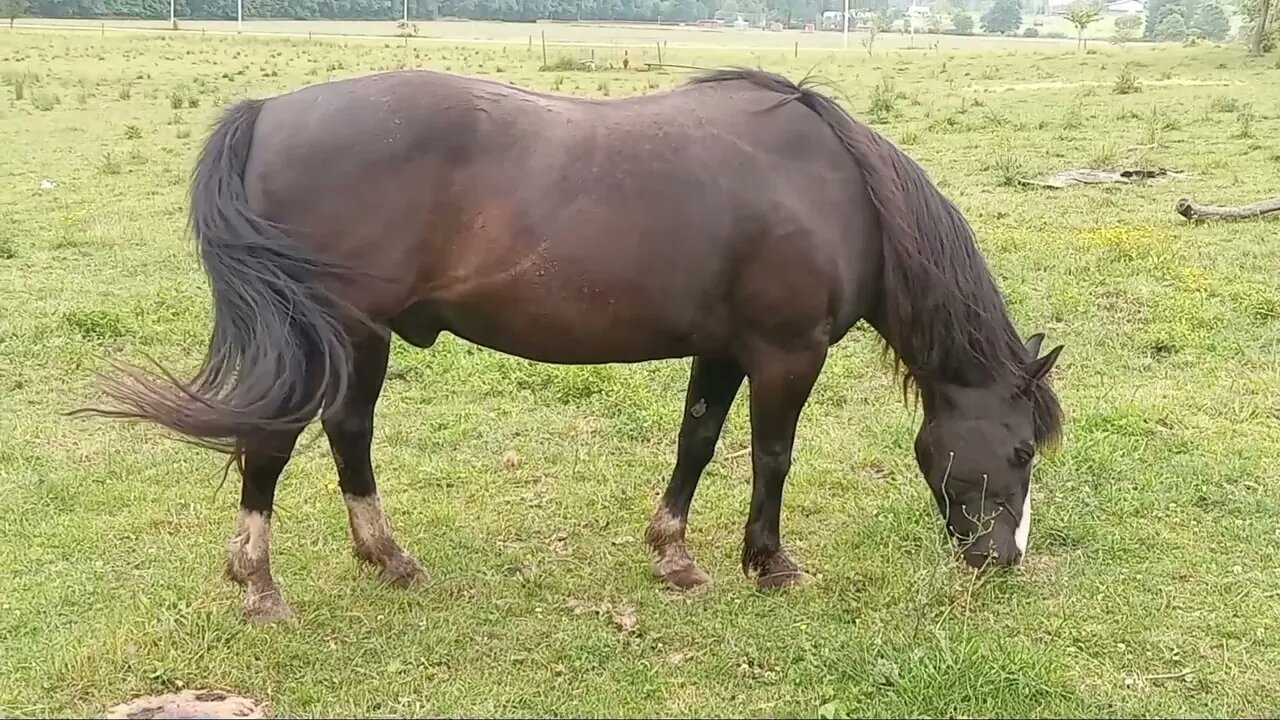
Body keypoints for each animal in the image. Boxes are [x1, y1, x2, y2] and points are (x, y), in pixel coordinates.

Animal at [77, 65, 1059, 622]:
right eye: (1019, 451)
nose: (1002, 562)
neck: (838, 187)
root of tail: (271, 110)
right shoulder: (787, 352)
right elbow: (771, 454)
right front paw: (768, 564)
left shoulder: (723, 349)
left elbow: (698, 441)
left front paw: (674, 554)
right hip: (331, 334)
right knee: (275, 442)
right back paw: (260, 586)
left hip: (359, 338)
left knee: (345, 433)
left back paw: (388, 559)